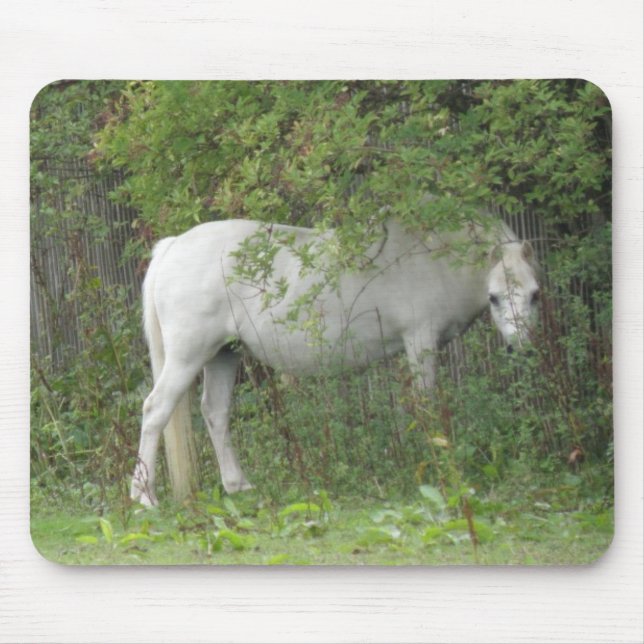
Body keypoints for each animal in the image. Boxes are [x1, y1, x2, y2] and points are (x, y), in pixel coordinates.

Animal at [131, 217, 540, 506]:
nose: (522, 348)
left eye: (535, 295)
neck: (433, 257)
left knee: (215, 412)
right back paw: (144, 497)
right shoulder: (420, 341)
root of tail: (173, 246)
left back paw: (238, 486)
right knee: (155, 410)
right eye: (495, 297)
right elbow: (425, 405)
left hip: (223, 354)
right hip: (187, 356)